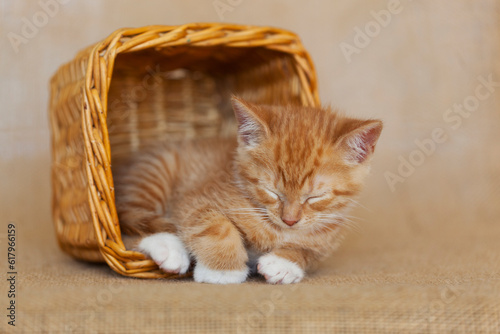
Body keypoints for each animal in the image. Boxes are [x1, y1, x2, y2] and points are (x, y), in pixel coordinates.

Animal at [115, 97, 382, 284]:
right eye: (272, 192)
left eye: (315, 197)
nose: (290, 220)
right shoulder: (195, 198)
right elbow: (216, 225)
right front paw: (222, 270)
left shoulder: (329, 236)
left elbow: (310, 251)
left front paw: (285, 263)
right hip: (154, 174)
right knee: (127, 226)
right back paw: (168, 247)